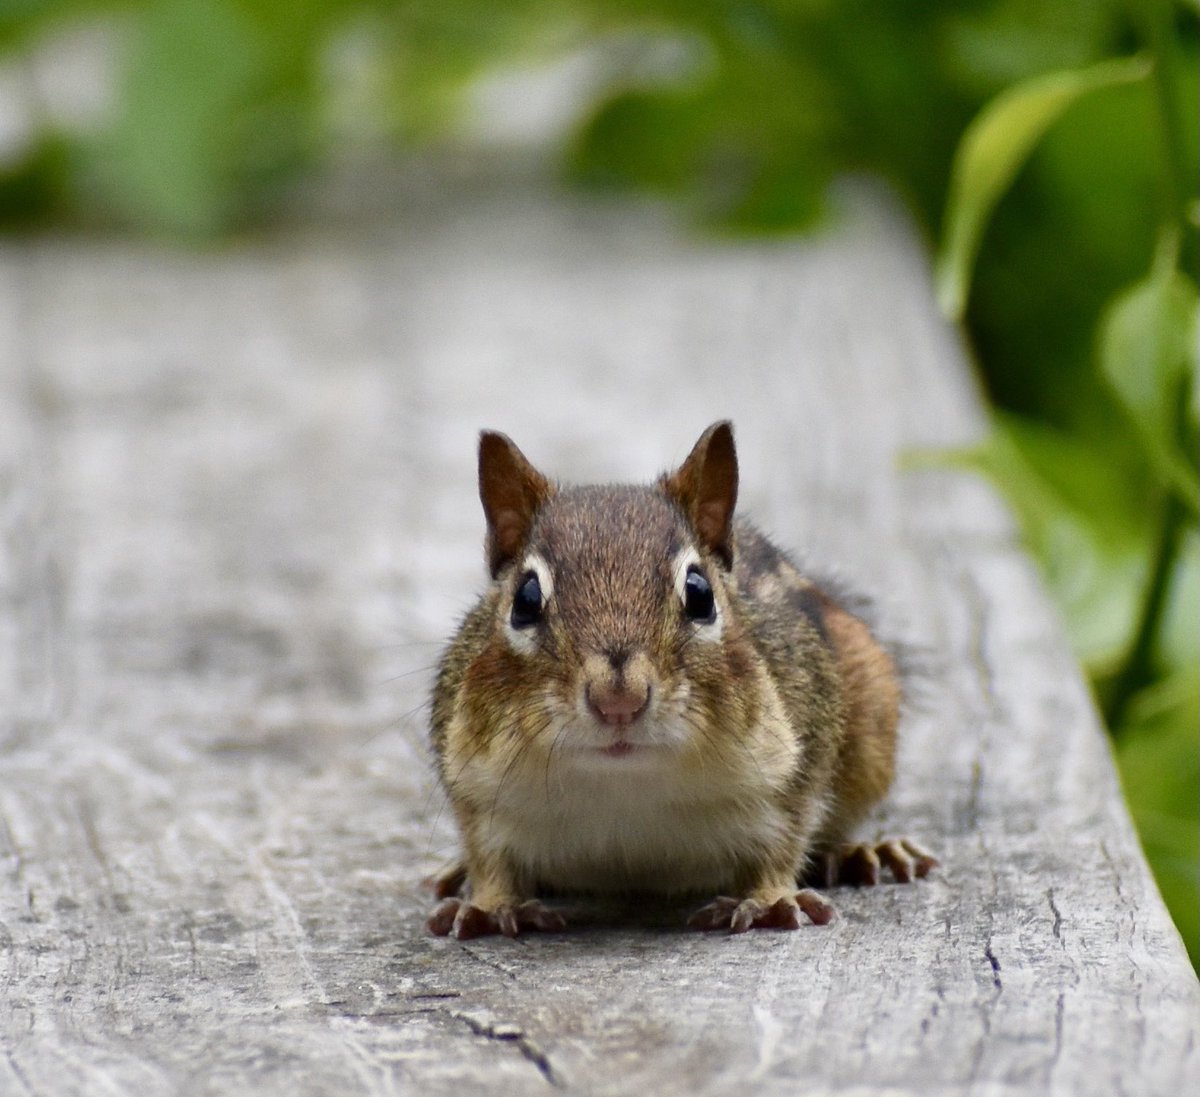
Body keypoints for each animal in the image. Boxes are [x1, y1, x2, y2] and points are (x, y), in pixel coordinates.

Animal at [427, 421, 935, 939]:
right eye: (525, 600)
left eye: (700, 593)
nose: (619, 700)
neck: (623, 789)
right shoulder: (472, 783)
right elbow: (488, 855)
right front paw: (488, 903)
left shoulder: (797, 762)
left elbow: (784, 840)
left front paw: (769, 898)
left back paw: (863, 851)